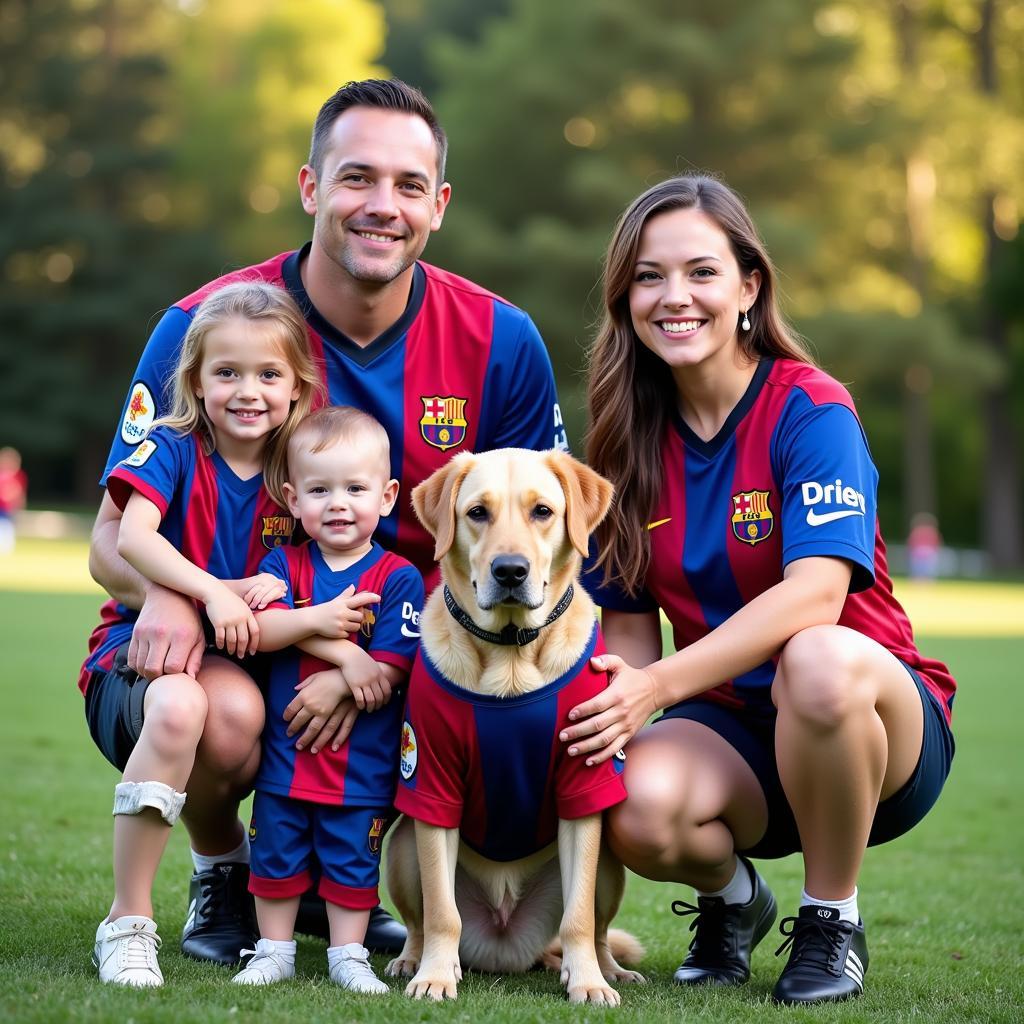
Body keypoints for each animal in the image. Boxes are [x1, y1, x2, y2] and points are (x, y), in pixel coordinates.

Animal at [385, 452, 638, 1003]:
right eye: (477, 513)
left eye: (542, 511)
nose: (509, 570)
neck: (511, 654)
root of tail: (507, 945)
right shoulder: (431, 782)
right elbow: (441, 914)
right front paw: (435, 975)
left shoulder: (583, 785)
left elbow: (578, 918)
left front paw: (587, 981)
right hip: (402, 849)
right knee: (420, 922)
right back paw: (412, 959)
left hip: (609, 862)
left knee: (596, 929)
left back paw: (605, 969)